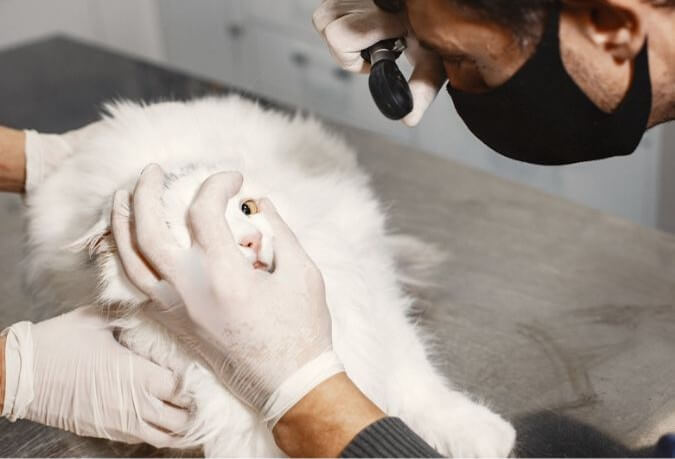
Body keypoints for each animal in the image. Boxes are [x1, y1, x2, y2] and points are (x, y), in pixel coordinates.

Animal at [23, 95, 516, 458]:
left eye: (246, 209)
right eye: (196, 233)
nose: (251, 241)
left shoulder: (375, 303)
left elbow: (415, 379)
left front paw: (483, 435)